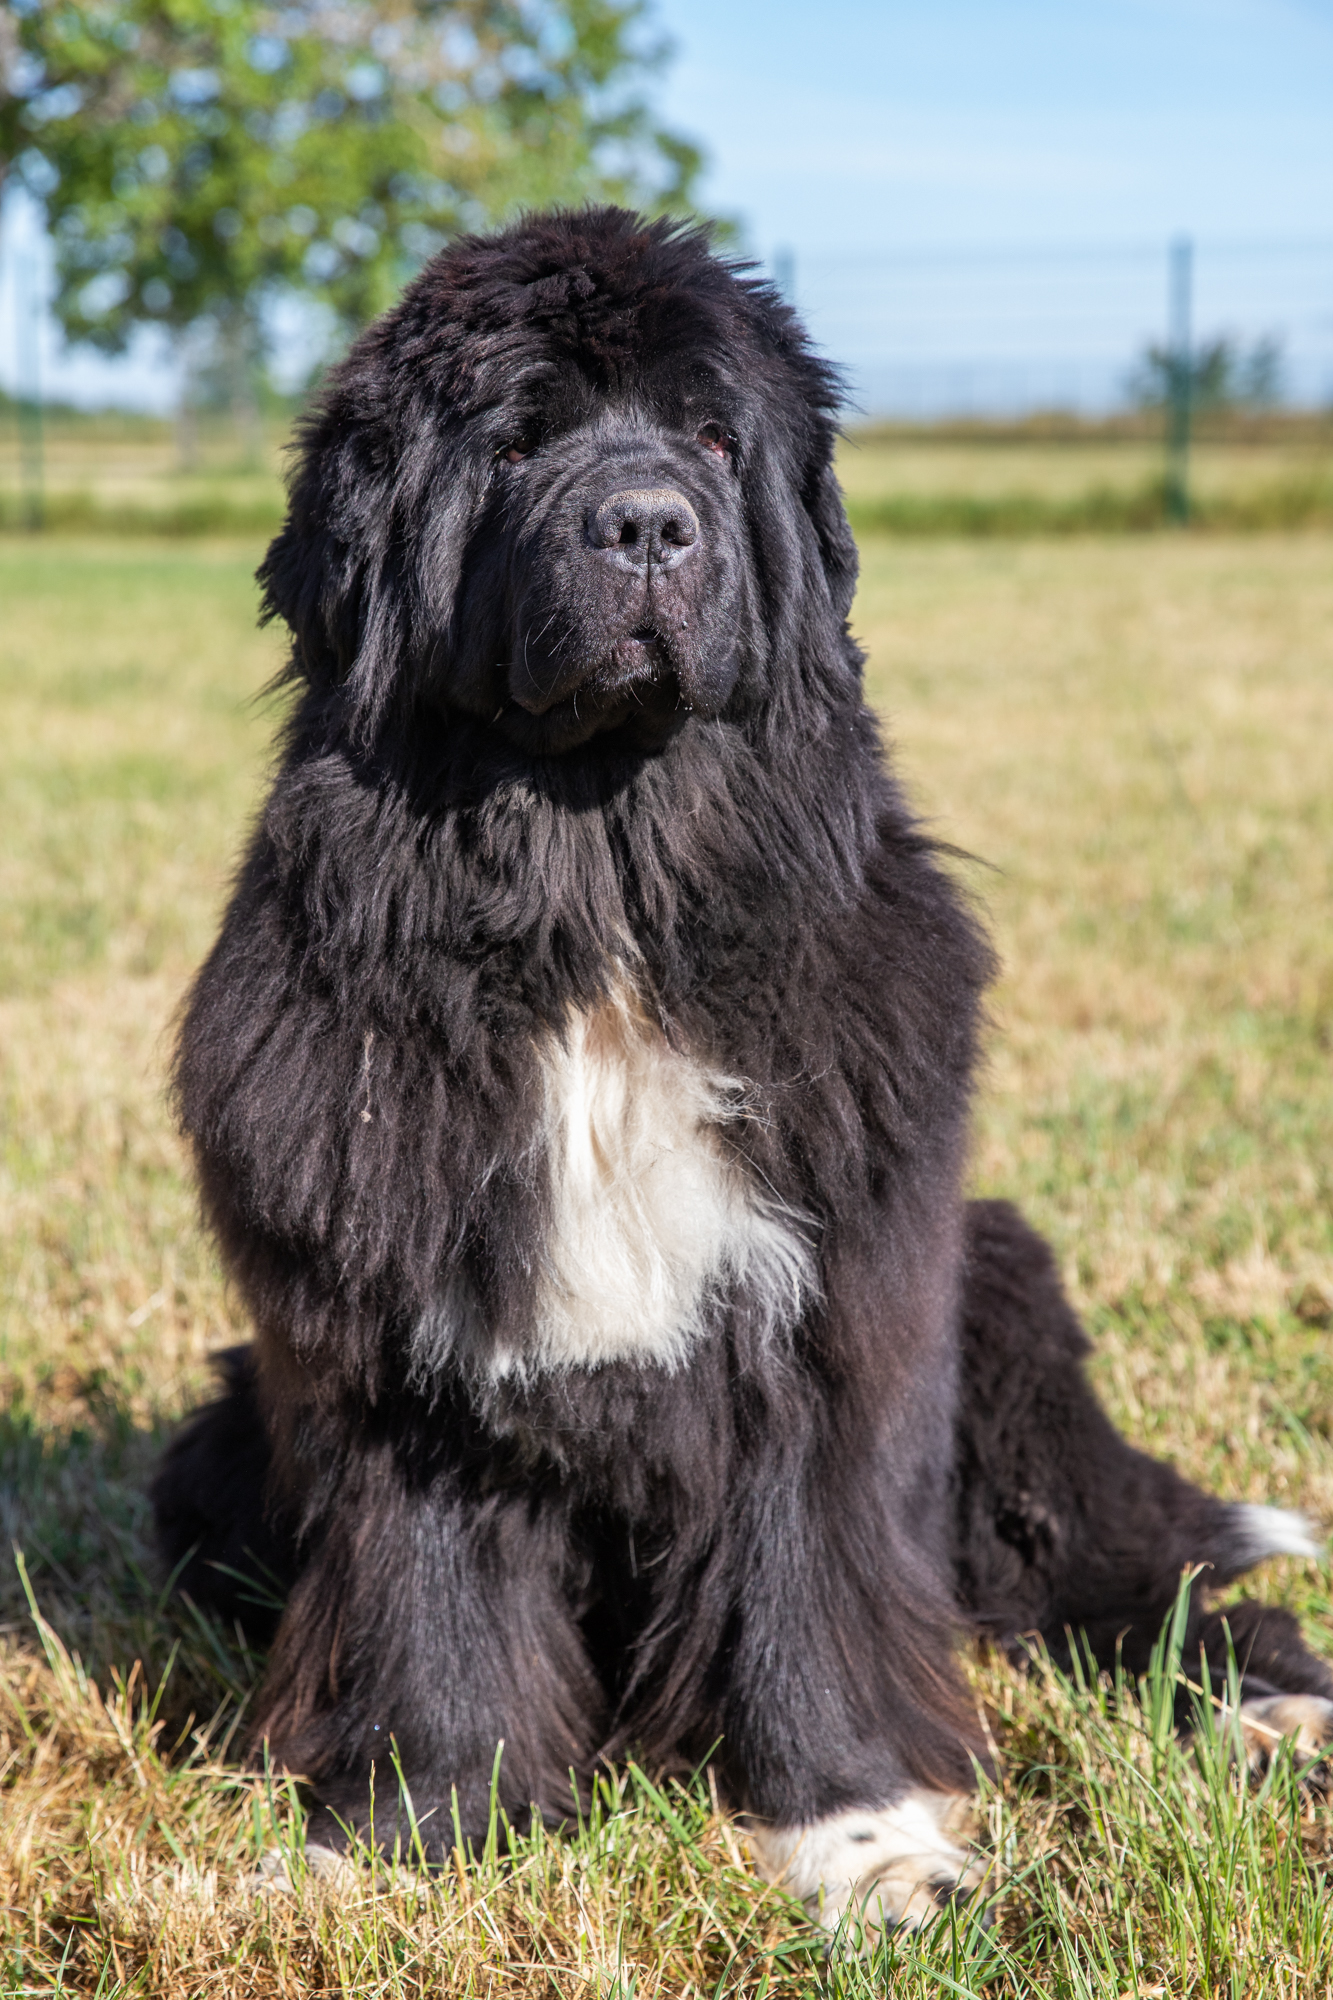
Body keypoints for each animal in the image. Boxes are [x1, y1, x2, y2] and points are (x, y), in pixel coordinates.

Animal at [158, 207, 1328, 1936]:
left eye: (714, 437)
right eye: (518, 441)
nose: (648, 525)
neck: (595, 898)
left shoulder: (826, 1332)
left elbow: (813, 1593)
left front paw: (865, 1846)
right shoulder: (389, 1348)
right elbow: (427, 1605)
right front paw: (407, 1838)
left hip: (1000, 1320)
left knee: (1131, 1575)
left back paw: (1269, 1711)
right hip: (213, 1452)